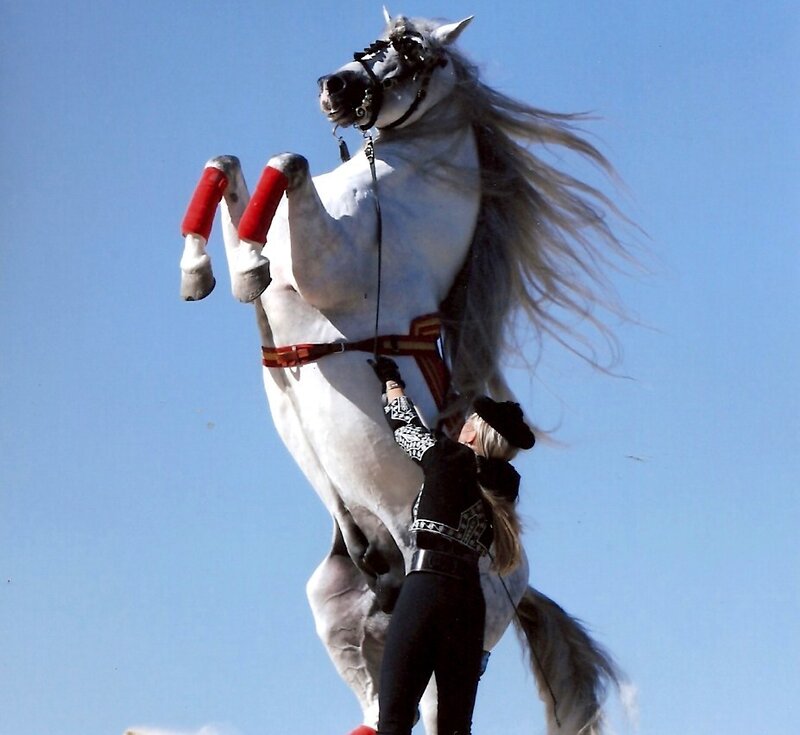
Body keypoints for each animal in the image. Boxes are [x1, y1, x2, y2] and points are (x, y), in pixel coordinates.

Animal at [179, 11, 629, 735]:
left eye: (415, 53)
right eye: (370, 42)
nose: (333, 88)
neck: (393, 191)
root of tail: (520, 581)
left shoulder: (323, 267)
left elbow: (286, 163)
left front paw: (243, 267)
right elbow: (229, 166)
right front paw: (201, 271)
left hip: (449, 643)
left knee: (433, 709)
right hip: (344, 614)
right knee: (379, 703)